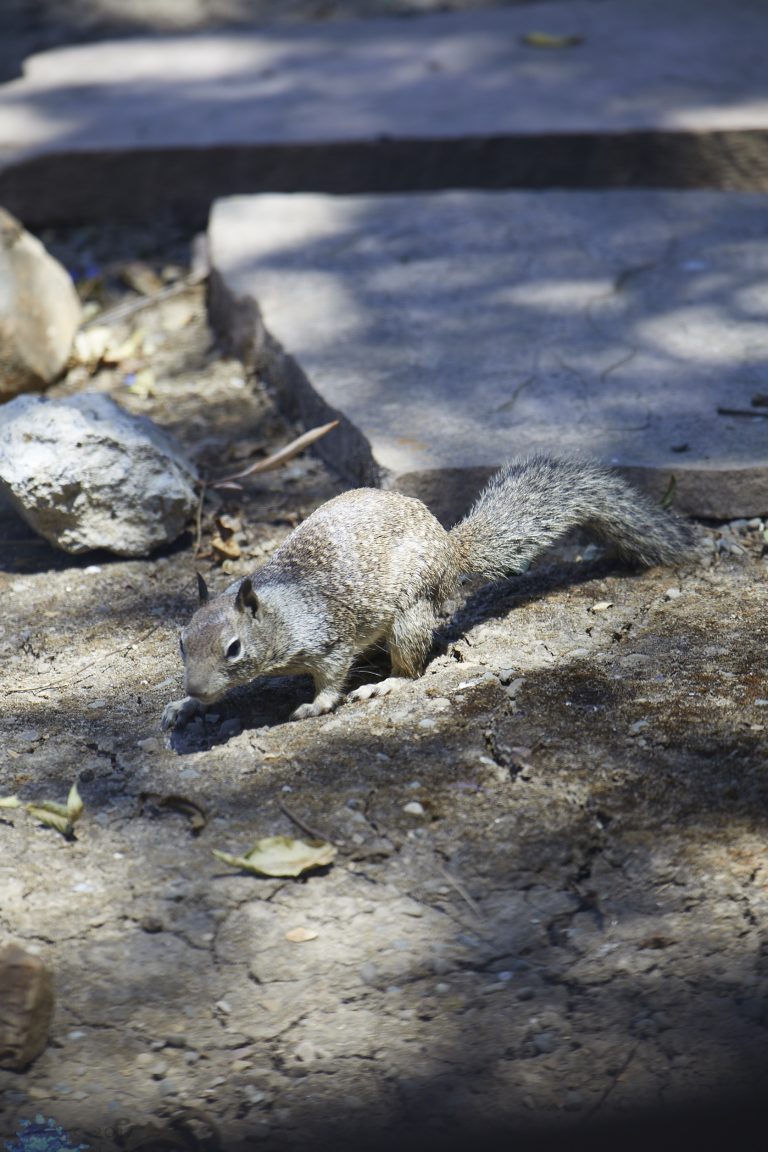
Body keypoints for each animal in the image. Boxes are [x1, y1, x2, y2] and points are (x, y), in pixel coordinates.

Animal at [161, 455, 694, 729]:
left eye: (234, 648)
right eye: (182, 644)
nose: (194, 686)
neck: (280, 609)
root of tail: (449, 550)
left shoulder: (328, 640)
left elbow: (331, 678)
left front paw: (315, 704)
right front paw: (184, 707)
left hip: (409, 616)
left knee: (412, 669)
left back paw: (385, 684)